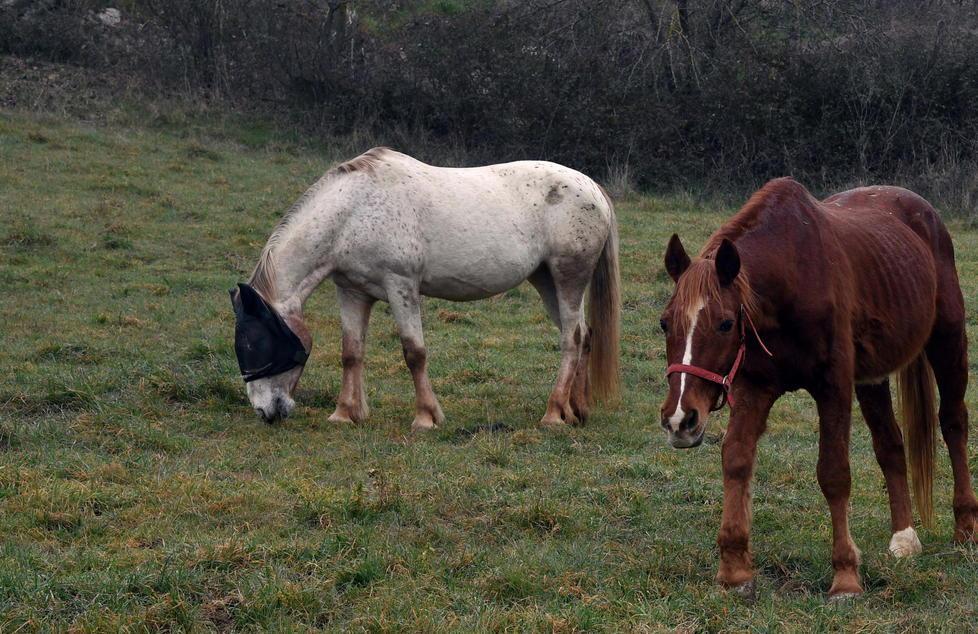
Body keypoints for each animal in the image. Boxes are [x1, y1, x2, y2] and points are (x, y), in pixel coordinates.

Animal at [230, 147, 621, 431]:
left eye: (257, 343)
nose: (265, 411)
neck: (353, 212)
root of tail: (591, 186)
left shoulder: (400, 285)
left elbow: (414, 352)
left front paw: (426, 417)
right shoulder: (352, 292)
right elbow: (351, 352)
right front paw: (345, 414)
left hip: (569, 277)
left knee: (571, 339)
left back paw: (553, 414)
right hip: (546, 280)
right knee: (583, 334)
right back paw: (576, 410)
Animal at [658, 177, 978, 598]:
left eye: (726, 323)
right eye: (664, 322)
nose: (680, 419)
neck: (791, 277)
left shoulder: (833, 386)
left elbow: (834, 473)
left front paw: (845, 576)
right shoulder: (753, 388)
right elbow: (737, 459)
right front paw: (734, 570)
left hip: (947, 341)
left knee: (954, 423)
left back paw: (966, 528)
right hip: (872, 377)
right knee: (890, 444)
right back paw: (904, 538)